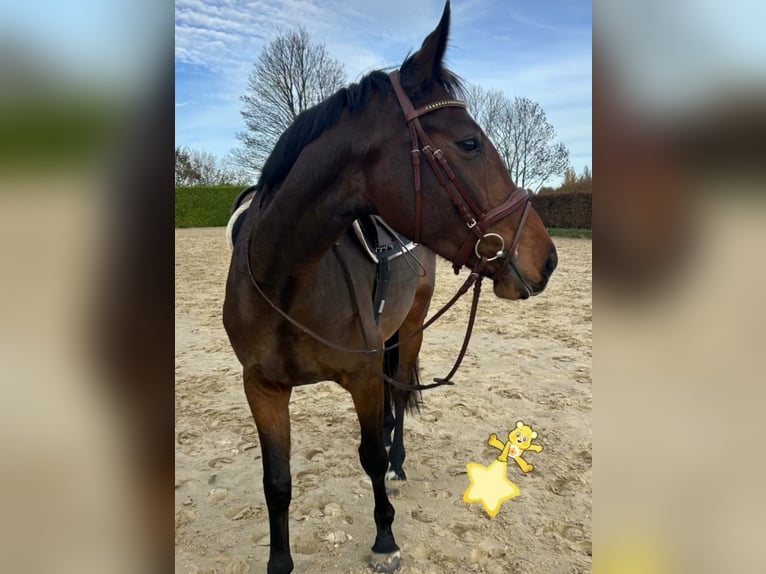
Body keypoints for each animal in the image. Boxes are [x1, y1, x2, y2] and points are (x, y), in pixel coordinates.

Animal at [223, 3, 558, 572]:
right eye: (469, 143)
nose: (547, 259)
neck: (286, 277)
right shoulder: (262, 388)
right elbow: (277, 483)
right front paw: (279, 562)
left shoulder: (362, 376)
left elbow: (371, 457)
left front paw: (385, 536)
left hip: (411, 328)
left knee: (398, 397)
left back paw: (400, 461)